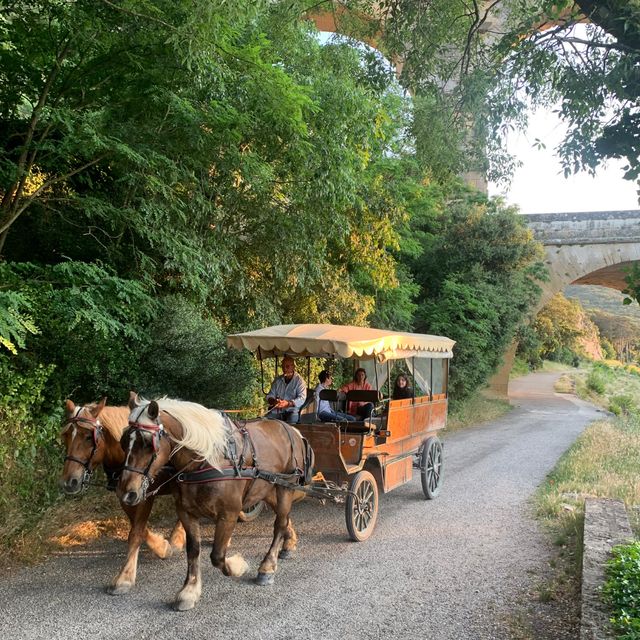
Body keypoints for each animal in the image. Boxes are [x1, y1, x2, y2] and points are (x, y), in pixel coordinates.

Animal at [60, 400, 185, 596]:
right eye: (66, 435)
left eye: (88, 437)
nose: (68, 482)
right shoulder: (125, 495)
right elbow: (139, 528)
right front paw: (161, 545)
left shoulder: (143, 494)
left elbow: (135, 533)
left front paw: (125, 577)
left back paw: (178, 538)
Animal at [118, 390, 316, 608]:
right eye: (123, 441)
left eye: (148, 443)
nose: (127, 492)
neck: (207, 460)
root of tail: (294, 431)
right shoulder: (186, 511)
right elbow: (193, 550)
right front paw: (189, 590)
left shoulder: (229, 513)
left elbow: (218, 556)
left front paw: (238, 565)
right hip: (267, 488)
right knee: (285, 518)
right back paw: (289, 544)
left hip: (284, 487)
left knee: (279, 523)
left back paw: (267, 567)